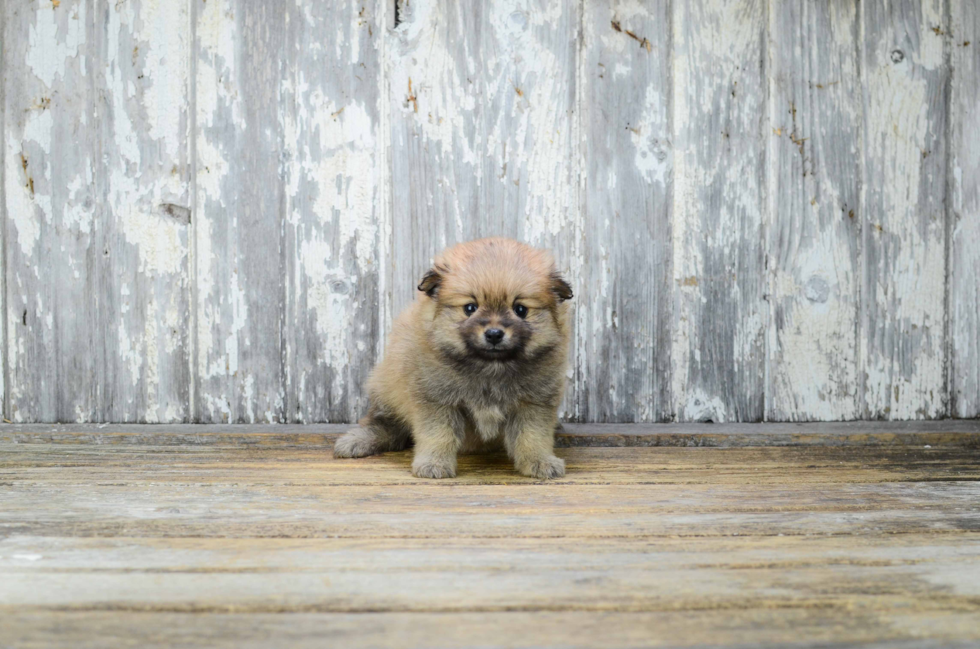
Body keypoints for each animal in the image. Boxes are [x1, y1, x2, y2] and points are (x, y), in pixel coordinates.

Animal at [334, 237, 576, 476]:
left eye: (520, 310)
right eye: (470, 308)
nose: (494, 334)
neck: (490, 367)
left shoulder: (534, 403)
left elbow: (532, 437)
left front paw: (540, 461)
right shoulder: (437, 401)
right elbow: (438, 435)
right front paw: (434, 463)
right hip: (387, 390)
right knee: (384, 424)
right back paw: (358, 441)